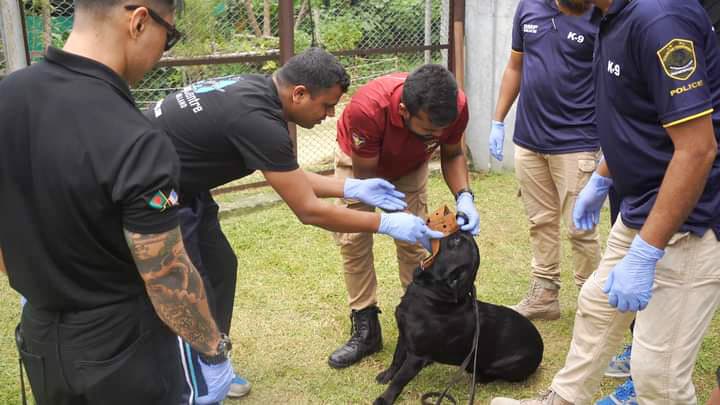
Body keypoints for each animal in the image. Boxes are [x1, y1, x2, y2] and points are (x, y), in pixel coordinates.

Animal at [374, 229, 544, 402]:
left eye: (456, 242)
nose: (464, 226)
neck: (433, 296)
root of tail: (540, 346)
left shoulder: (417, 357)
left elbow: (399, 380)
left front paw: (384, 399)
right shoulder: (403, 336)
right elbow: (396, 359)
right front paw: (386, 375)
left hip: (506, 364)